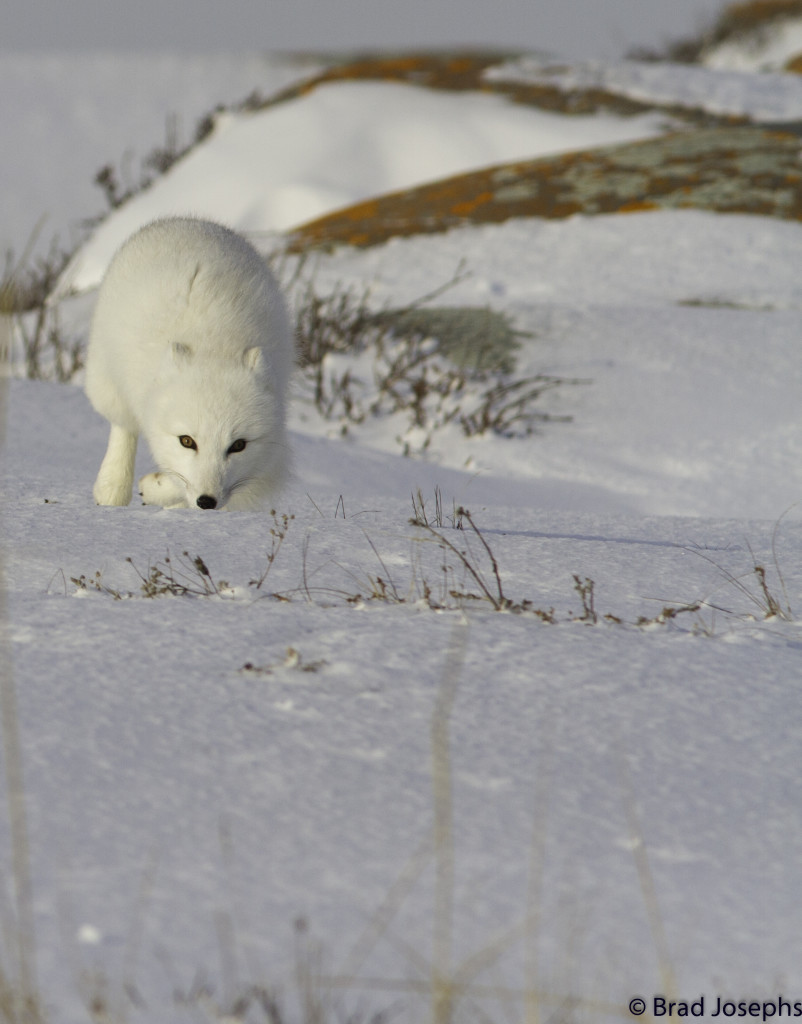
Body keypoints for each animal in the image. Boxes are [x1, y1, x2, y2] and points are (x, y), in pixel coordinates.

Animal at [83, 218, 294, 509]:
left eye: (238, 445)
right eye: (187, 441)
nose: (207, 501)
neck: (216, 345)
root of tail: (188, 220)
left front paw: (158, 490)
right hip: (108, 380)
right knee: (123, 426)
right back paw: (111, 489)